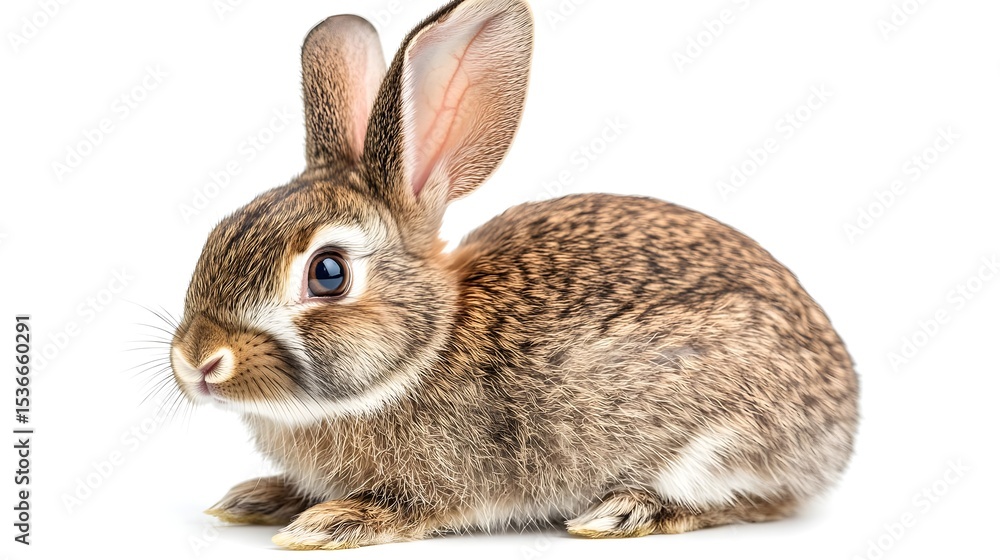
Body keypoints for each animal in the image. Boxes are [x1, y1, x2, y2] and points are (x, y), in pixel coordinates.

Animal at [168, 0, 858, 550]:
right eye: (217, 234)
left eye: (329, 273)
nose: (199, 360)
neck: (426, 347)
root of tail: (843, 417)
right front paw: (261, 497)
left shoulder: (446, 478)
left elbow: (415, 507)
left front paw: (329, 523)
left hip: (720, 431)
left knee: (757, 499)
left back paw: (625, 513)